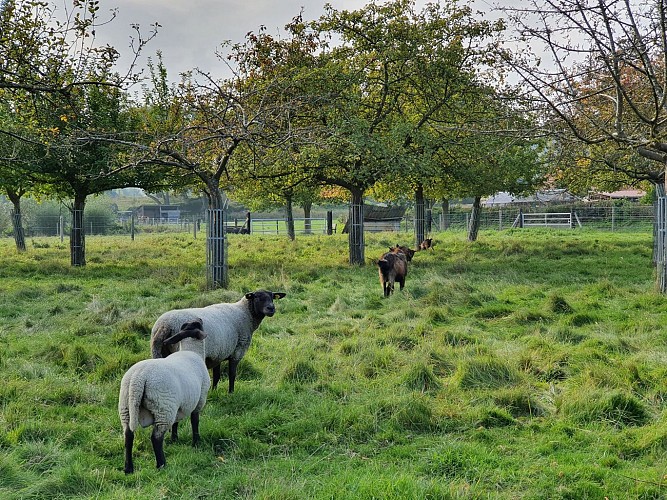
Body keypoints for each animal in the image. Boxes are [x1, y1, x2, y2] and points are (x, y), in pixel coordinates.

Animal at [119, 319, 209, 474]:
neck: (191, 351)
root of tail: (138, 378)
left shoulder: (179, 405)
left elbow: (176, 422)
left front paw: (174, 439)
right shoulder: (199, 400)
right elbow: (195, 421)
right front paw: (196, 442)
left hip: (126, 407)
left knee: (128, 436)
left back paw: (128, 468)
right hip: (163, 408)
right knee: (156, 438)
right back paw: (162, 465)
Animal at [150, 290, 286, 393]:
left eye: (272, 297)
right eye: (257, 297)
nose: (271, 309)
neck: (245, 313)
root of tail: (164, 325)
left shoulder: (218, 353)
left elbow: (216, 376)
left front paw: (214, 391)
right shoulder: (238, 350)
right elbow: (232, 374)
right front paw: (231, 392)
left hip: (160, 352)